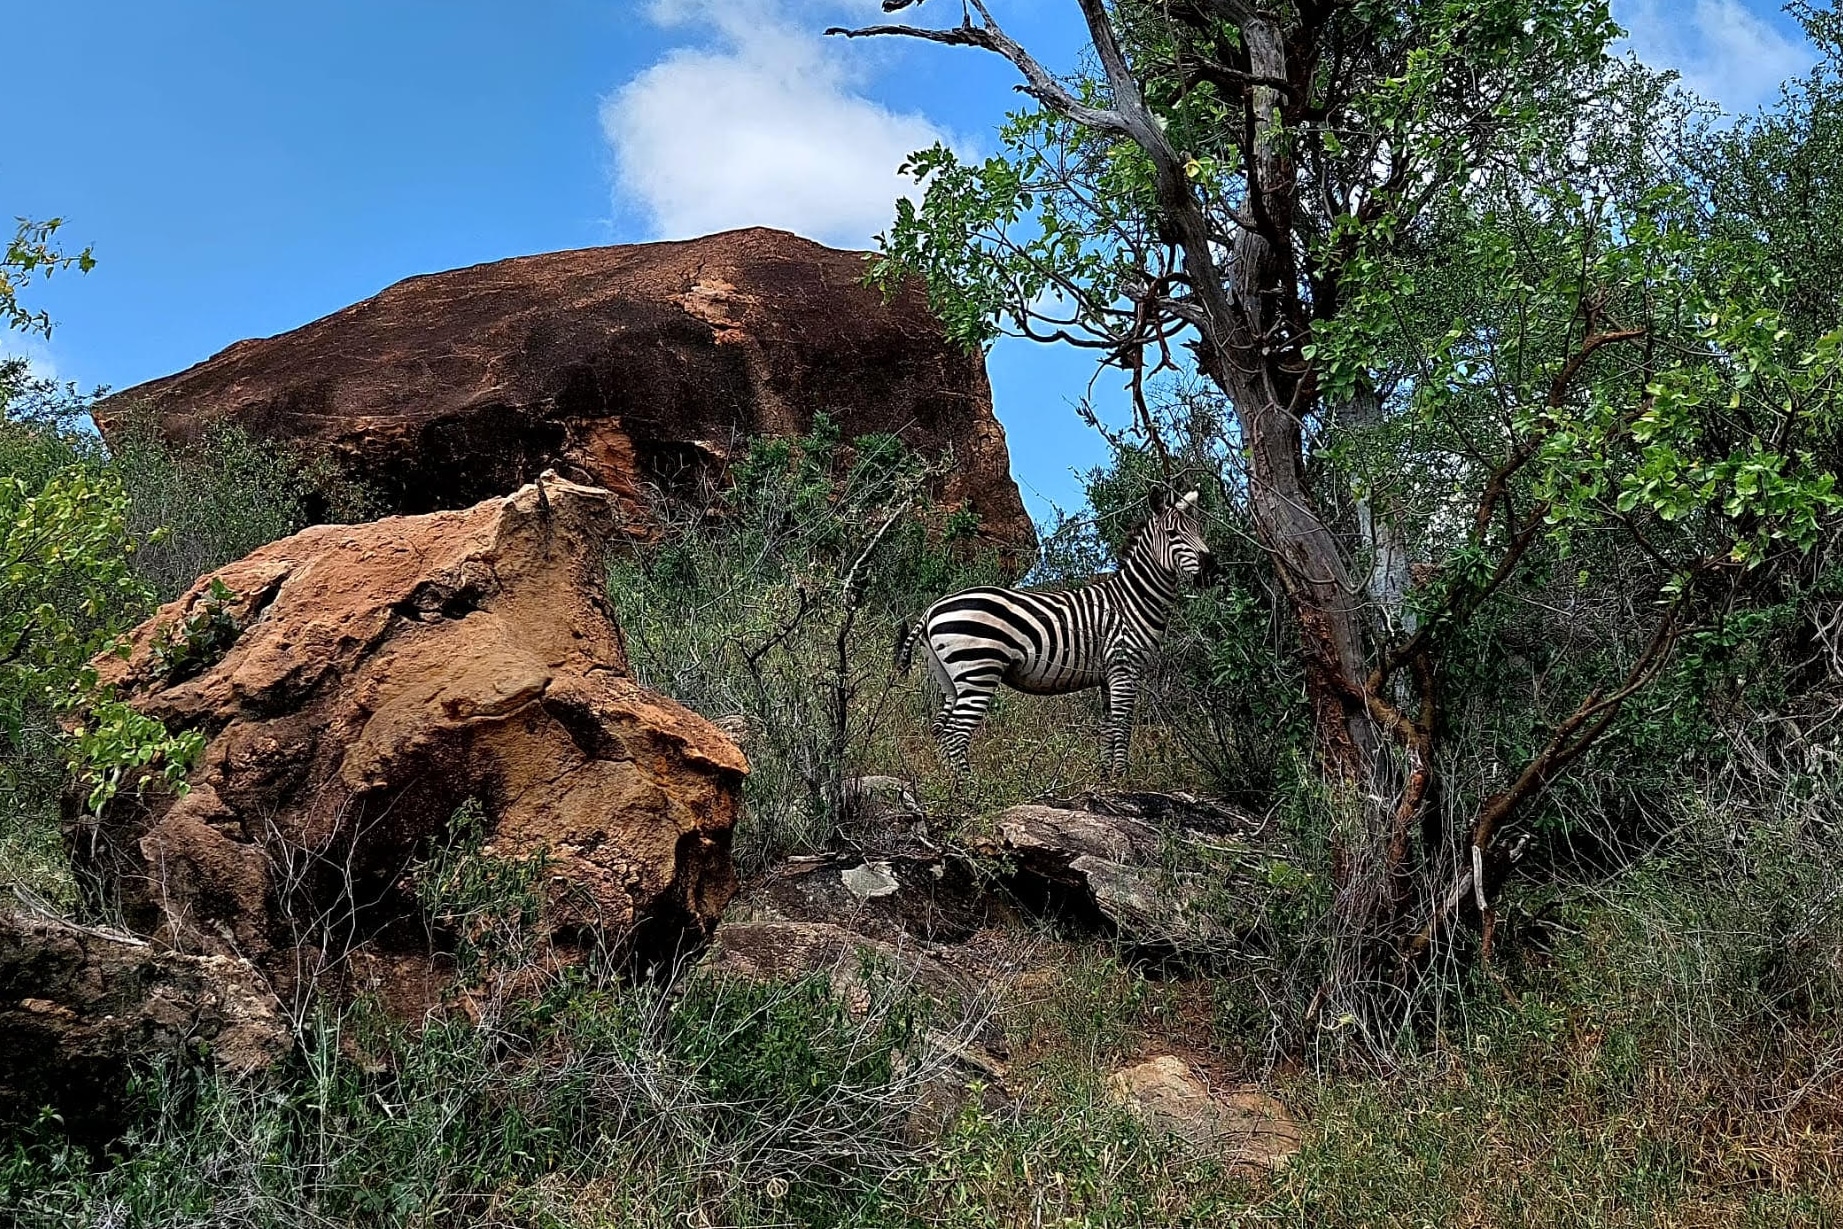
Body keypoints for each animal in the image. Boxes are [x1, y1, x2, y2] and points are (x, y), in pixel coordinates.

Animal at [895, 490, 1216, 777]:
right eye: (1173, 534)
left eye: (1199, 530)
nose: (1211, 571)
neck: (1131, 600)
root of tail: (931, 610)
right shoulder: (1124, 668)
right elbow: (1123, 724)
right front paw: (1123, 776)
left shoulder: (1108, 674)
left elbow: (1108, 725)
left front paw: (1106, 776)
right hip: (978, 671)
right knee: (956, 732)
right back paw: (969, 788)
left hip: (948, 677)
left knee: (941, 729)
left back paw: (951, 786)